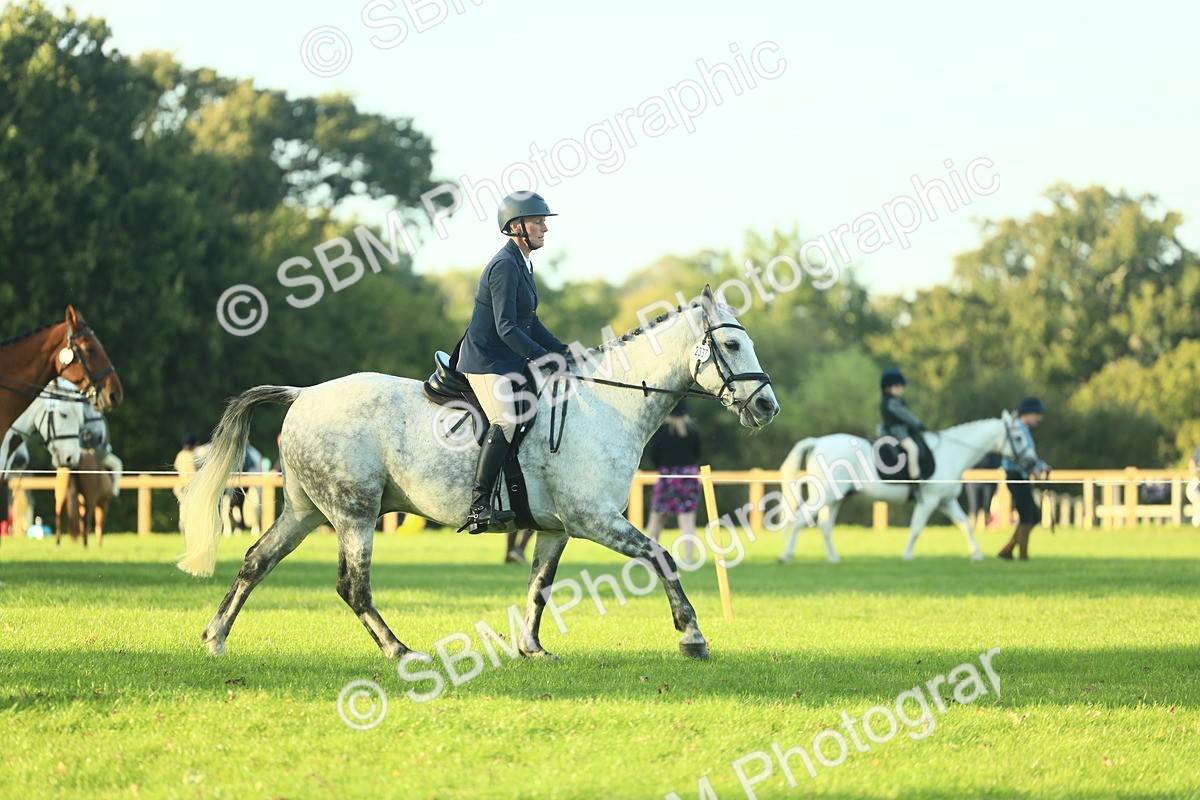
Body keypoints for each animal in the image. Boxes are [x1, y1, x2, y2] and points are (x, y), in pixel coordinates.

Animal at [178, 288, 779, 661]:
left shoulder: (557, 528)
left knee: (256, 561)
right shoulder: (595, 520)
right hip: (354, 513)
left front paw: (532, 648)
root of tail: (302, 394)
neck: (606, 406)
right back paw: (399, 650)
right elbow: (662, 556)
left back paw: (214, 637)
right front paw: (692, 636)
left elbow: (539, 585)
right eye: (731, 344)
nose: (767, 406)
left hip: (306, 512)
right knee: (353, 586)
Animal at [777, 412, 1037, 563]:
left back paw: (833, 558)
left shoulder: (946, 501)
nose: (1033, 462)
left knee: (825, 527)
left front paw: (977, 555)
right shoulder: (929, 501)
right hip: (827, 495)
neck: (951, 454)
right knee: (800, 520)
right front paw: (907, 556)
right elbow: (916, 529)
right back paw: (786, 556)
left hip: (836, 498)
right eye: (1018, 437)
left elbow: (966, 525)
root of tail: (817, 442)